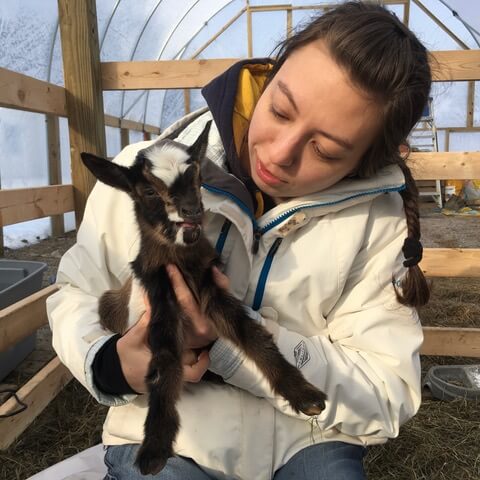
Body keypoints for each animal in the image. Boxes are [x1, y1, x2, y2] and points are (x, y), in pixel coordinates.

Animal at [81, 122, 326, 474]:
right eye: (149, 191)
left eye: (197, 178)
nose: (192, 211)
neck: (181, 261)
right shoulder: (159, 291)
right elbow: (165, 359)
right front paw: (154, 448)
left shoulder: (210, 284)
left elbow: (251, 333)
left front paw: (303, 394)